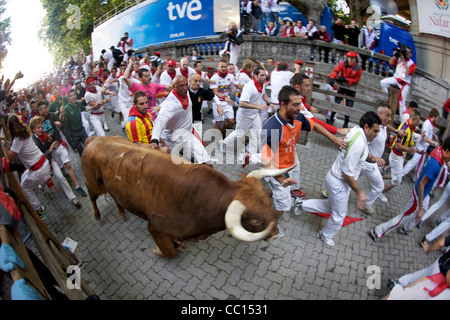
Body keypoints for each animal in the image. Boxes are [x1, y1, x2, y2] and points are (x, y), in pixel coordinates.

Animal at [81, 135, 292, 258]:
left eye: (268, 204)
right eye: (255, 221)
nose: (275, 234)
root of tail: (94, 139)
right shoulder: (156, 229)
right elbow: (170, 253)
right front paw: (159, 251)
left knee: (117, 198)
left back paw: (122, 213)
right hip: (92, 183)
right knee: (92, 198)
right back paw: (97, 215)